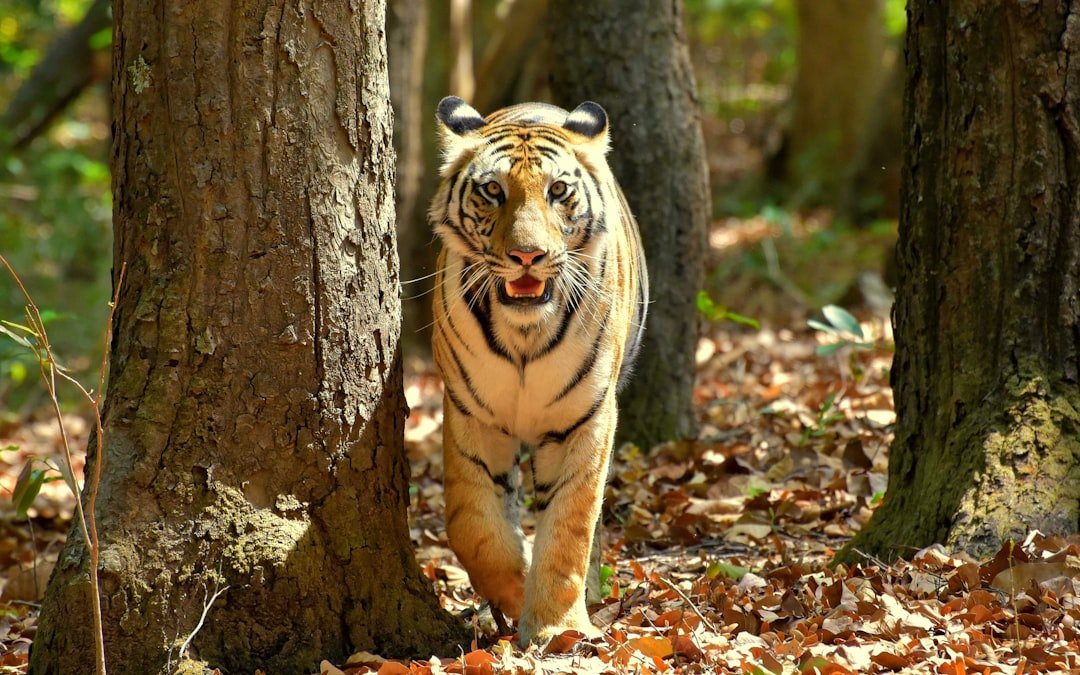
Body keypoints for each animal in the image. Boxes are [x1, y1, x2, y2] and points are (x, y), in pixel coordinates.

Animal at [429, 96, 648, 646]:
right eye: (493, 190)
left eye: (558, 191)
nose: (528, 255)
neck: (525, 334)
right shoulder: (471, 414)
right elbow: (473, 526)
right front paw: (512, 592)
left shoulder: (585, 418)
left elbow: (571, 526)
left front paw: (556, 626)